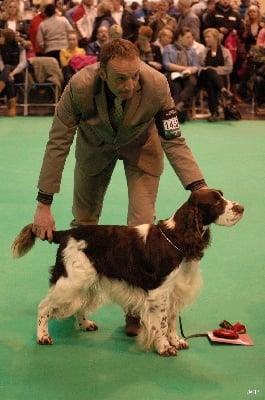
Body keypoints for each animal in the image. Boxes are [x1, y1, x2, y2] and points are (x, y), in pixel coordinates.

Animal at [12, 190, 243, 356]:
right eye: (216, 201)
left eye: (222, 195)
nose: (241, 208)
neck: (177, 238)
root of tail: (65, 233)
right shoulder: (159, 293)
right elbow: (160, 323)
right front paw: (164, 348)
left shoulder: (175, 291)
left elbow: (171, 321)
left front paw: (177, 341)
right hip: (71, 280)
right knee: (44, 306)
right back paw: (43, 336)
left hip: (87, 280)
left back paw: (85, 324)